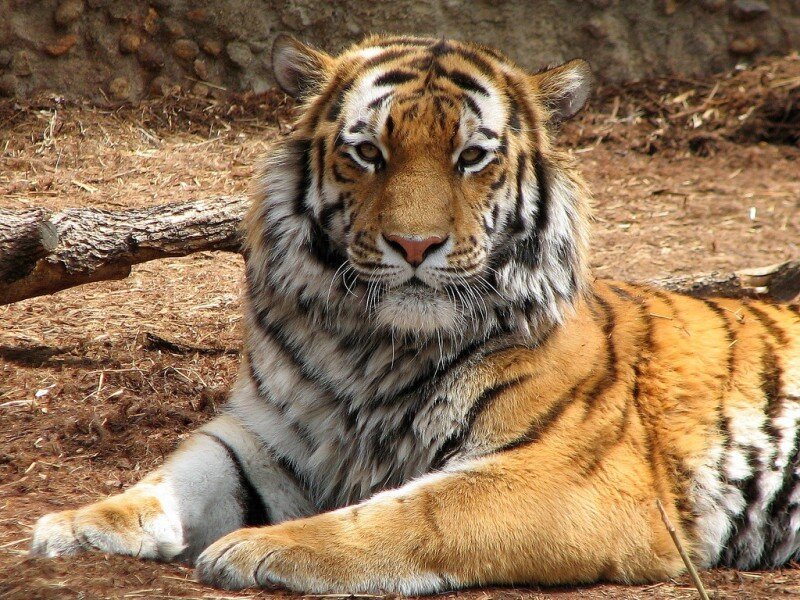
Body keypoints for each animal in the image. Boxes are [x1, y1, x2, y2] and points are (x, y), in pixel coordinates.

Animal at [30, 34, 800, 594]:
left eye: (472, 156)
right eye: (369, 152)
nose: (415, 245)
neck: (373, 345)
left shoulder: (569, 476)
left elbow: (415, 511)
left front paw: (258, 548)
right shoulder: (263, 436)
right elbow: (171, 479)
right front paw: (72, 526)